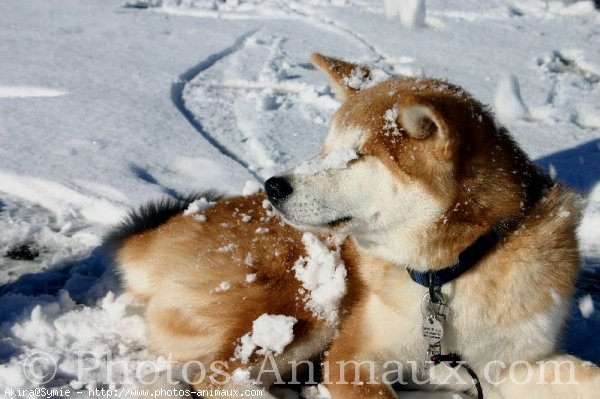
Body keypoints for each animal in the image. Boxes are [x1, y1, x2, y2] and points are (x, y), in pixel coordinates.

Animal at [109, 54, 600, 399]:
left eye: (358, 155)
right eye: (325, 147)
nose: (273, 185)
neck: (451, 270)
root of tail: (168, 231)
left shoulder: (517, 362)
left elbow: (587, 375)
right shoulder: (353, 357)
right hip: (304, 304)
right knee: (218, 378)